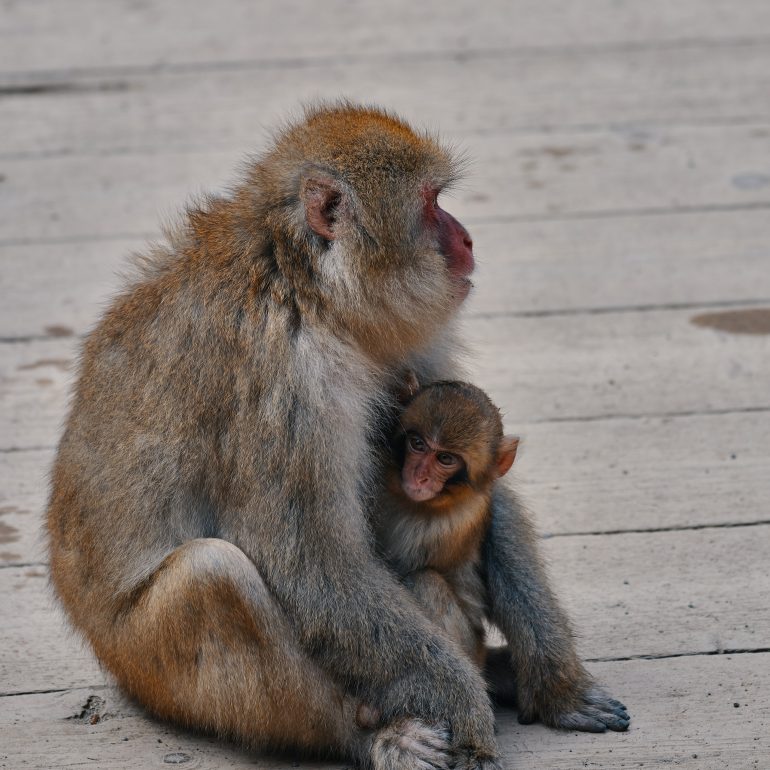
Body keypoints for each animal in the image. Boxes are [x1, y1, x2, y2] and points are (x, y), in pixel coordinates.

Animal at [373, 379, 519, 670]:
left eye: (445, 459)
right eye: (417, 444)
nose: (419, 476)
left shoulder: (454, 524)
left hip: (470, 647)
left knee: (425, 582)